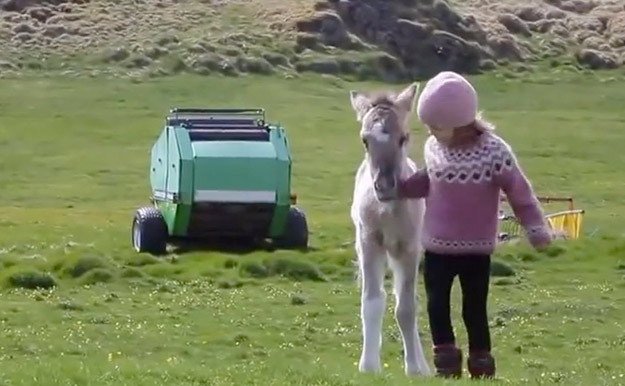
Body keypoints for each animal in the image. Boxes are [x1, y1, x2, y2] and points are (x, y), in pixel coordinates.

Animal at [348, 83, 432, 376]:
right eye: (365, 140)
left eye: (403, 138)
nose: (384, 187)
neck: (388, 211)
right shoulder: (369, 243)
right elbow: (372, 301)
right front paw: (369, 365)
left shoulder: (409, 247)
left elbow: (406, 308)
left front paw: (415, 369)